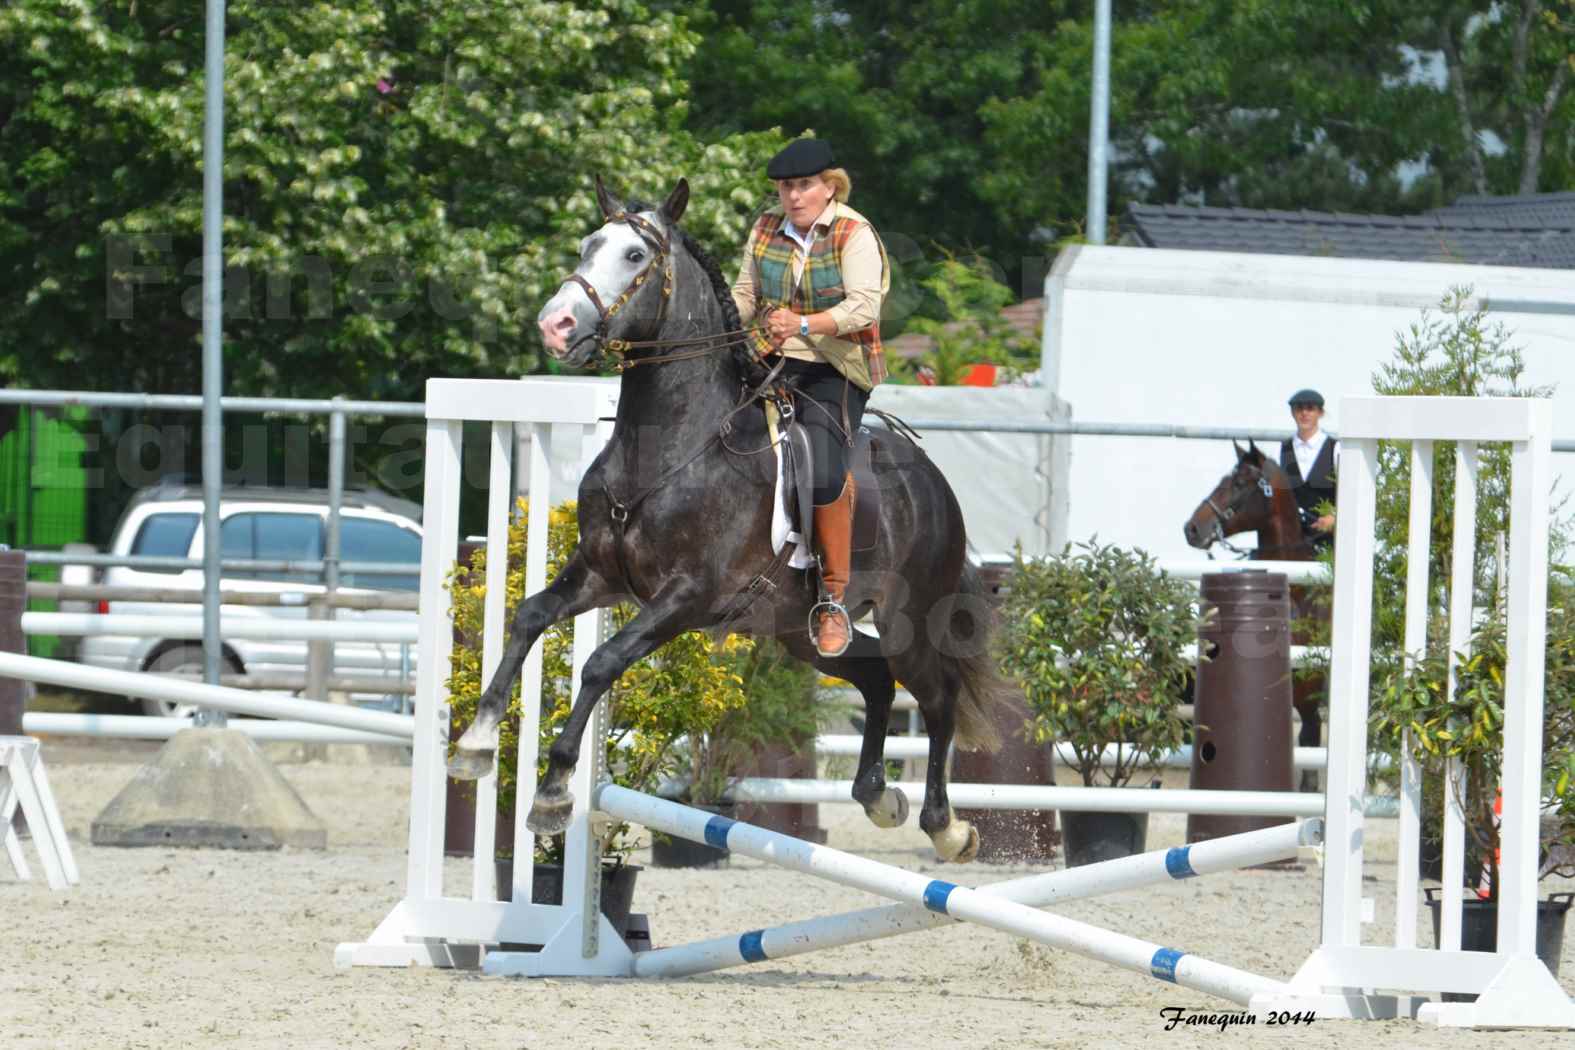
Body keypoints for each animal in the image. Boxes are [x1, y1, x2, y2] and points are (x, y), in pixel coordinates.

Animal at [447, 174, 1008, 862]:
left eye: (634, 256)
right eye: (586, 247)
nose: (556, 326)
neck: (670, 447)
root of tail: (934, 481)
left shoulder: (685, 596)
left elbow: (601, 663)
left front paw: (552, 794)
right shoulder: (602, 576)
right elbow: (528, 616)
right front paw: (474, 743)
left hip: (910, 619)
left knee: (936, 695)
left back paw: (946, 827)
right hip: (798, 632)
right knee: (875, 678)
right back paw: (877, 795)